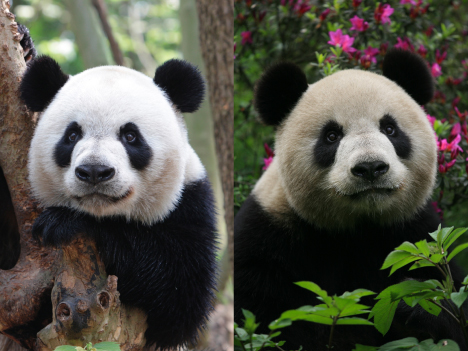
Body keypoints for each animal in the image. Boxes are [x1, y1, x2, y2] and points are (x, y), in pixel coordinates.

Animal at [20, 56, 219, 350]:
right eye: (72, 135)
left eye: (130, 136)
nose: (94, 171)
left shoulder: (191, 204)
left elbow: (179, 292)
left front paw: (66, 223)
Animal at [236, 49, 466, 351]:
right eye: (331, 136)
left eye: (390, 129)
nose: (370, 168)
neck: (357, 228)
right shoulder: (268, 237)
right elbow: (269, 319)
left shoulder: (418, 234)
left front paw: (412, 306)